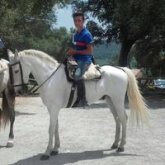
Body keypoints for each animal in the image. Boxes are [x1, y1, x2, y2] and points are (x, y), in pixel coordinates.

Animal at [8, 49, 150, 160]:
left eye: (16, 71)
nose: (18, 91)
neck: (50, 77)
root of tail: (120, 69)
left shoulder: (53, 109)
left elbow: (50, 129)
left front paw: (47, 152)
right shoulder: (53, 109)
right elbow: (56, 128)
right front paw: (55, 149)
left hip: (118, 100)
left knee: (123, 119)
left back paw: (121, 146)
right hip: (110, 100)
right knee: (117, 119)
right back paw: (115, 144)